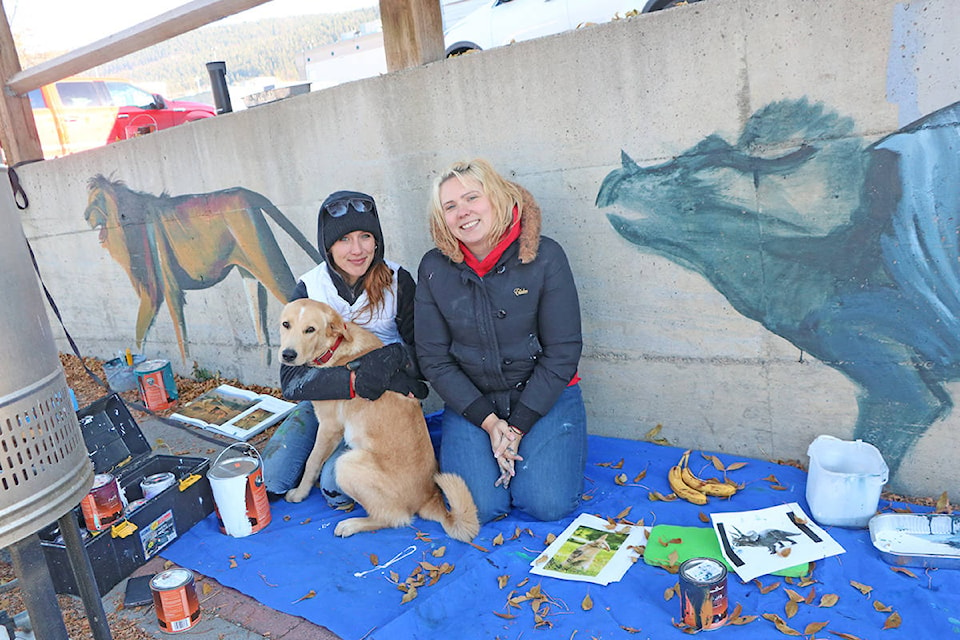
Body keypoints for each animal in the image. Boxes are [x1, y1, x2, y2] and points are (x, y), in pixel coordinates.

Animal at [276, 298, 478, 540]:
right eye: (286, 324)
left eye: (310, 329)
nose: (287, 355)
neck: (333, 349)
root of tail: (430, 498)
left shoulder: (329, 427)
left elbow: (312, 461)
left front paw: (300, 493)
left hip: (346, 464)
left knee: (396, 518)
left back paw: (352, 524)